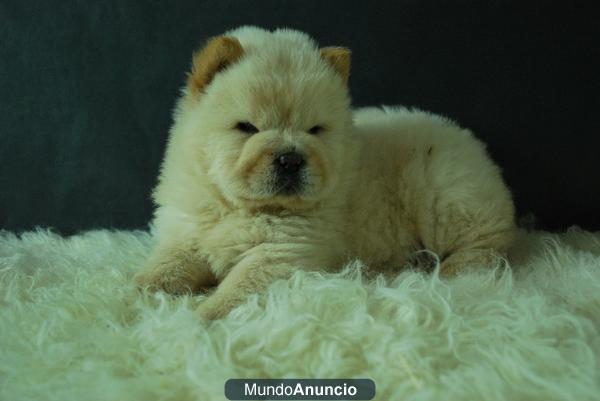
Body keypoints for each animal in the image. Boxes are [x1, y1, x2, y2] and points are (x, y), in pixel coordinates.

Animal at [135, 25, 516, 318]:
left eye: (315, 130)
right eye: (248, 127)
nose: (290, 159)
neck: (237, 208)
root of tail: (472, 143)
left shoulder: (283, 252)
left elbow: (239, 285)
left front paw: (205, 315)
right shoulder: (186, 233)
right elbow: (164, 265)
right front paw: (137, 293)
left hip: (446, 196)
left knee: (487, 246)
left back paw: (451, 271)